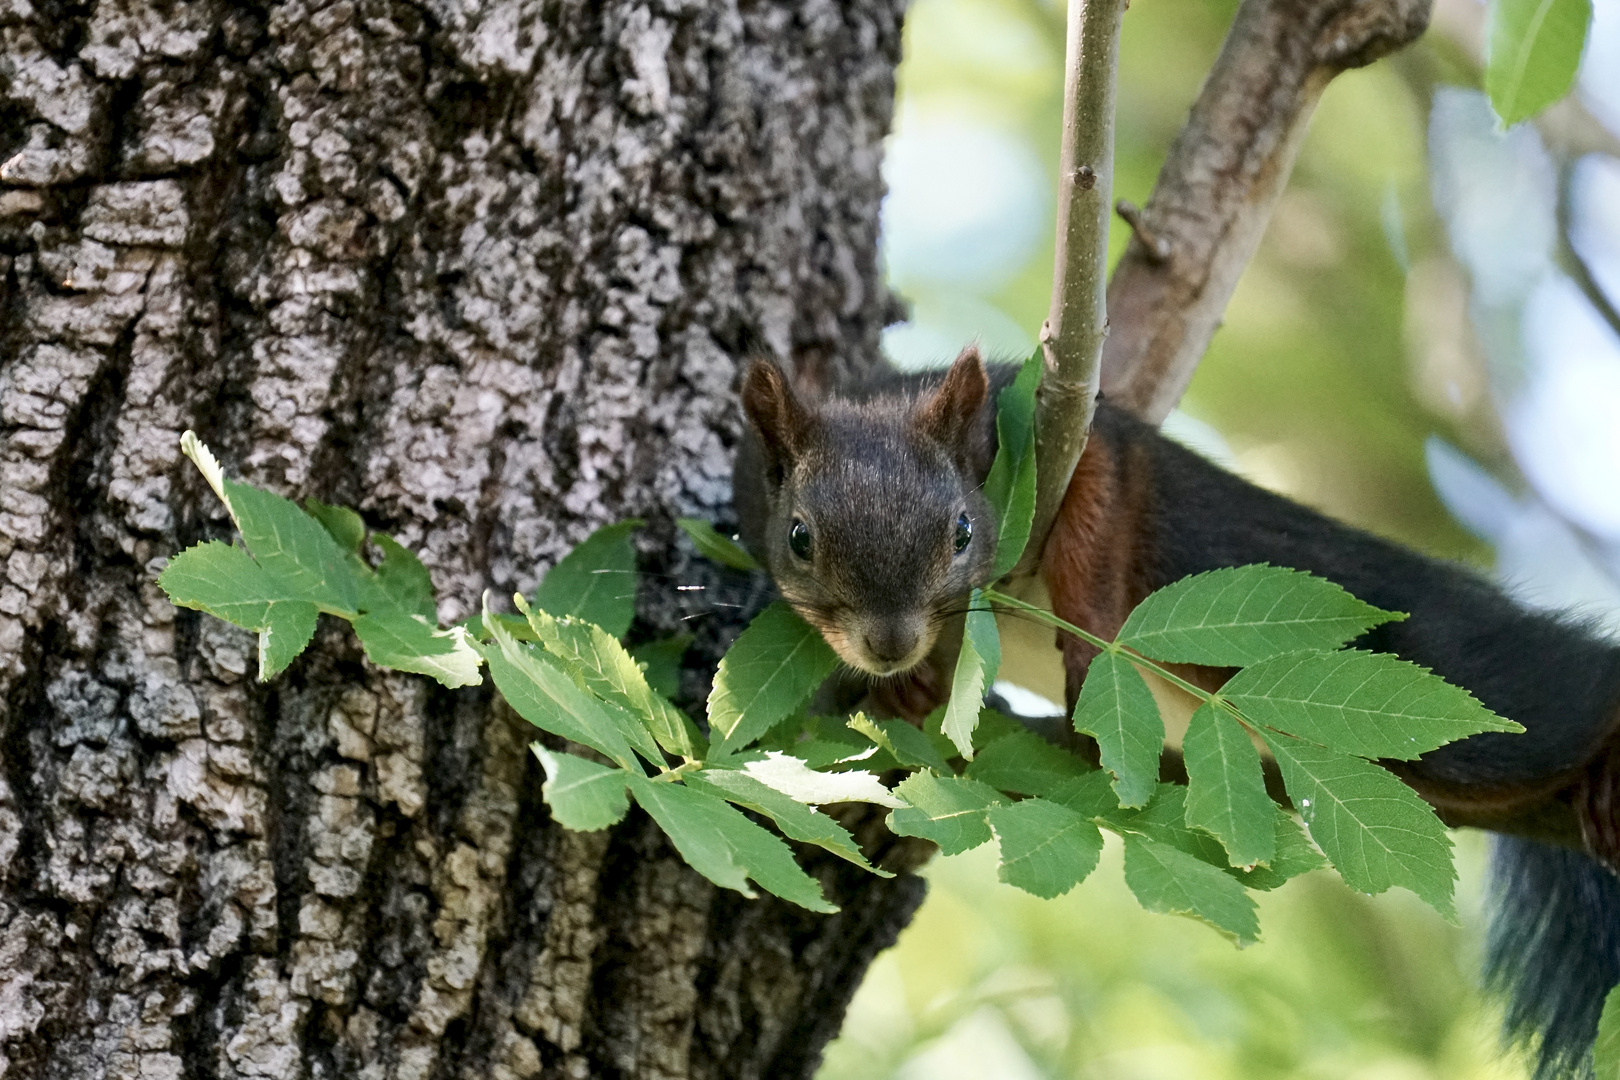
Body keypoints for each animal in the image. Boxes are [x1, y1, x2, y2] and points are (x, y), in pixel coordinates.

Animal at [741, 341, 1620, 1075]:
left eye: (962, 531)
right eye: (798, 538)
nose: (889, 645)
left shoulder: (1070, 438)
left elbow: (1099, 514)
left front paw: (1091, 650)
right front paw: (912, 686)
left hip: (1477, 709)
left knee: (1561, 702)